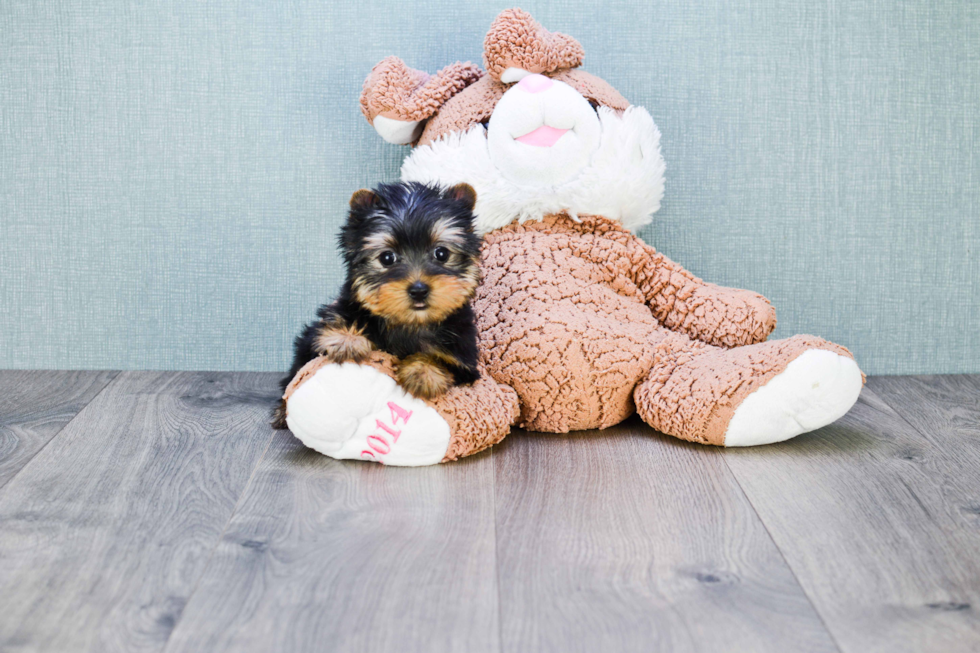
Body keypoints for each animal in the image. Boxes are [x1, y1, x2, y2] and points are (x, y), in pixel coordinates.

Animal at [274, 182, 480, 428]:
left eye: (441, 253)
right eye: (387, 258)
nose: (419, 289)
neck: (410, 323)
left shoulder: (464, 358)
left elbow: (445, 361)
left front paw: (422, 371)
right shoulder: (330, 320)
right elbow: (328, 329)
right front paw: (347, 339)